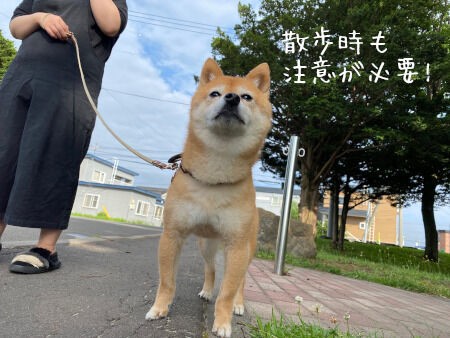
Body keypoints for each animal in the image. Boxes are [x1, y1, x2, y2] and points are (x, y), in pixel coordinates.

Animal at [146, 58, 270, 338]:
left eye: (247, 97)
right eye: (215, 93)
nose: (232, 98)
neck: (215, 177)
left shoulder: (236, 246)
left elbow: (227, 292)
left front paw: (223, 323)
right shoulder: (172, 235)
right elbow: (167, 281)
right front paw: (160, 308)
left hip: (246, 249)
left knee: (241, 282)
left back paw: (238, 304)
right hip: (206, 244)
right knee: (211, 268)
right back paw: (206, 290)